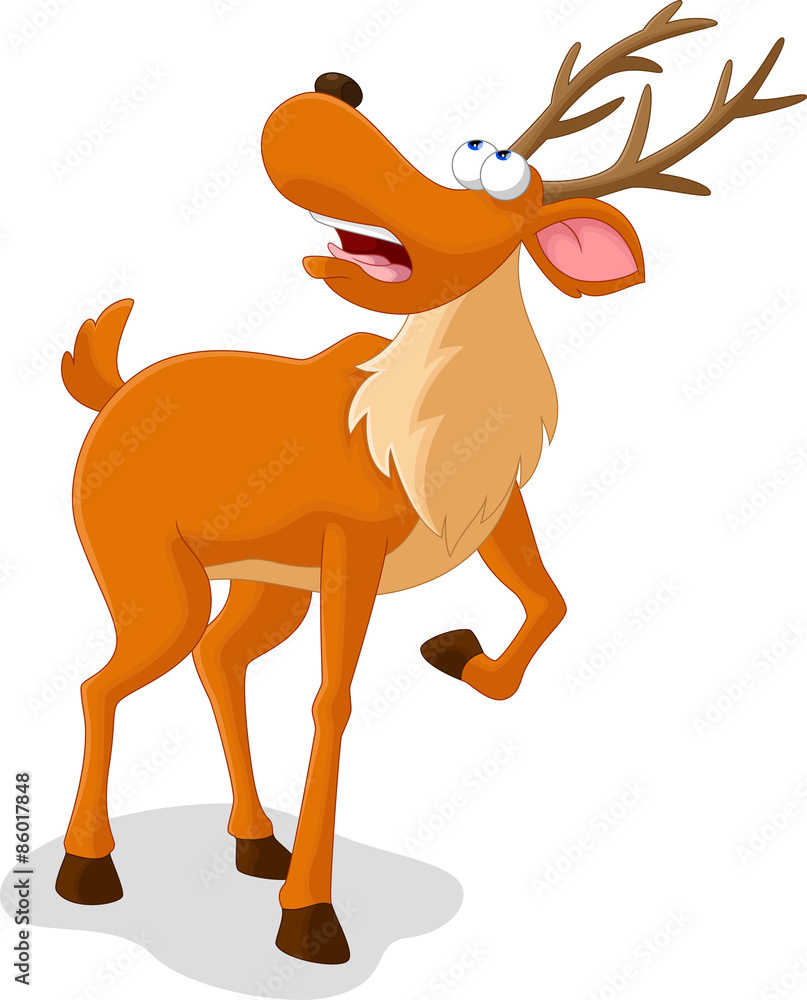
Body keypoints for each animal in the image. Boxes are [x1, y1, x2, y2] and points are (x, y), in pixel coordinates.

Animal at [54, 3, 803, 965]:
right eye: (468, 148)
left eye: (499, 173)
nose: (329, 94)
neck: (408, 437)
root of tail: (113, 390)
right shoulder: (355, 548)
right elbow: (332, 702)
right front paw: (312, 920)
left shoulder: (491, 514)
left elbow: (551, 603)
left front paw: (456, 652)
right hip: (153, 577)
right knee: (101, 682)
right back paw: (89, 868)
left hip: (266, 583)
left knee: (217, 661)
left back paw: (256, 843)